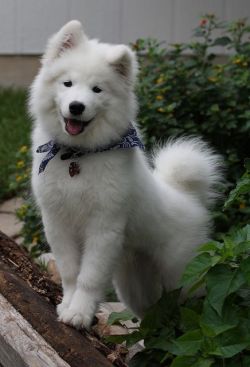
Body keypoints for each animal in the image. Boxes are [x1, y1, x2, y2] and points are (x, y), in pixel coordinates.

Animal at [29, 20, 223, 330]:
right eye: (67, 83)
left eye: (97, 90)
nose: (76, 107)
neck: (78, 157)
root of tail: (186, 195)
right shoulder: (57, 222)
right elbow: (70, 272)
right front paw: (67, 305)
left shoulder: (103, 227)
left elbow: (88, 277)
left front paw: (79, 313)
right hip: (134, 285)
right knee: (153, 317)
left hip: (183, 275)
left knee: (194, 304)